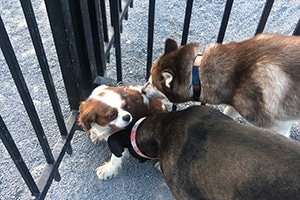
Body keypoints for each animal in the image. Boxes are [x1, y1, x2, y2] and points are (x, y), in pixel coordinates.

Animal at [142, 34, 300, 138]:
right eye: (148, 77)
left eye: (154, 84)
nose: (142, 90)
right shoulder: (236, 103)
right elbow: (228, 114)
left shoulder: (279, 127)